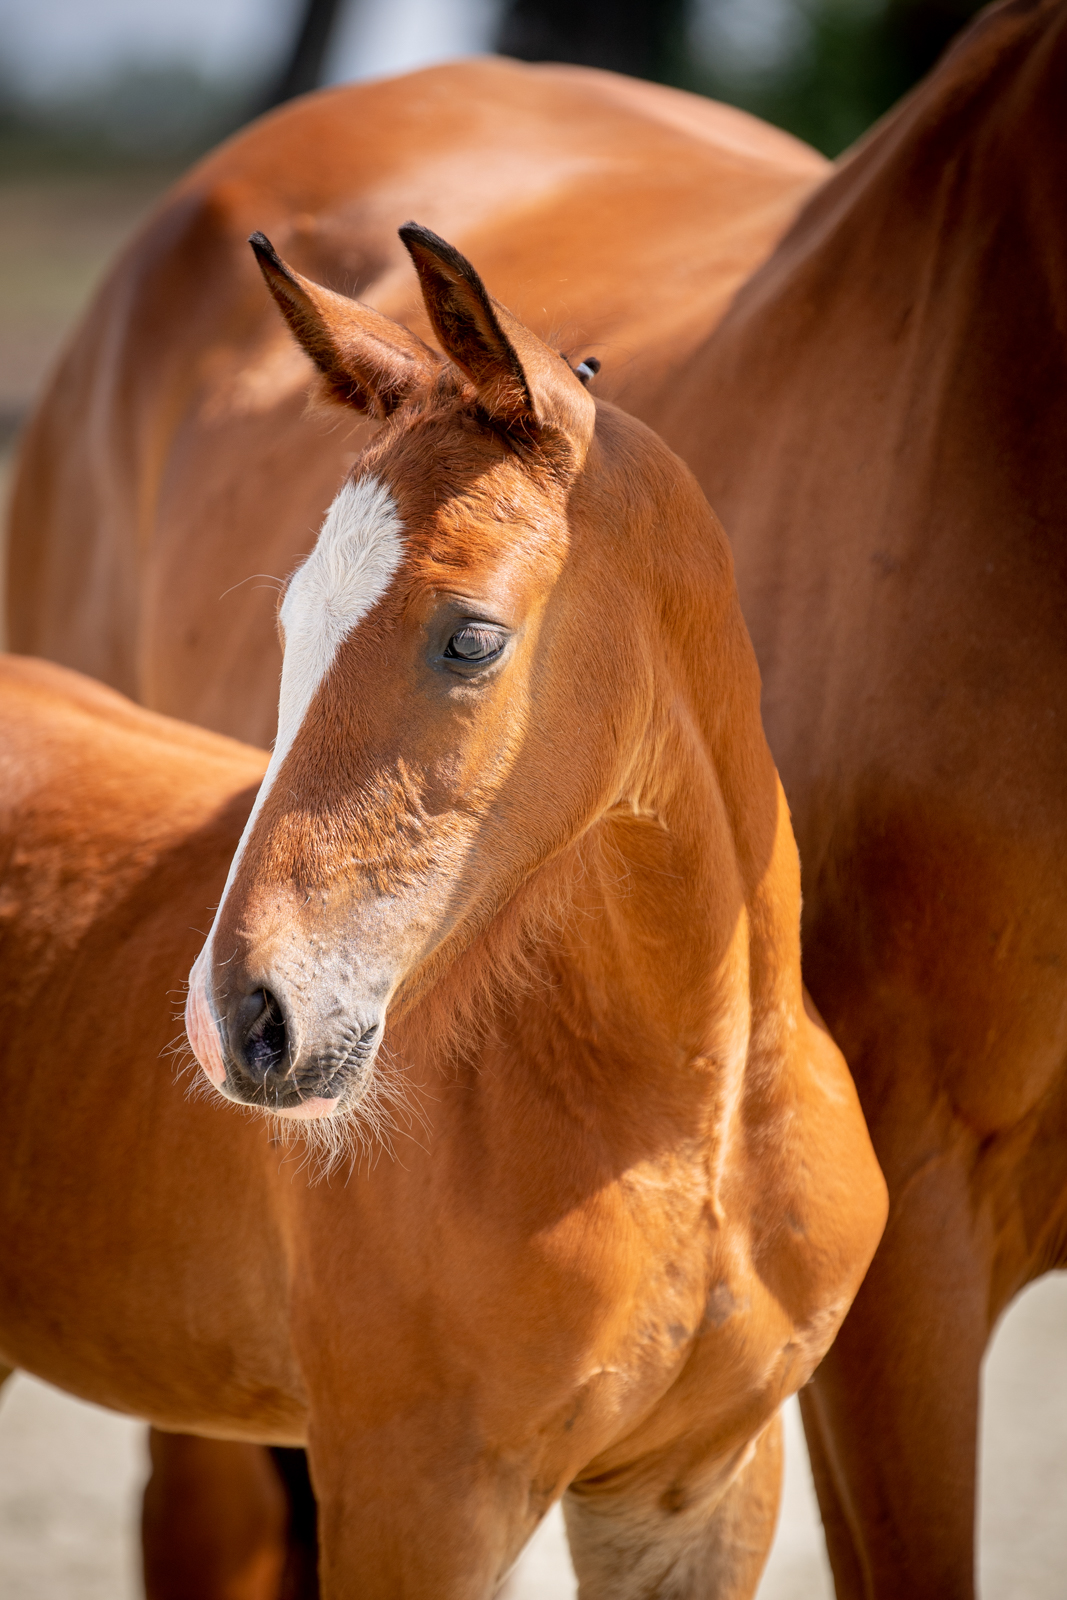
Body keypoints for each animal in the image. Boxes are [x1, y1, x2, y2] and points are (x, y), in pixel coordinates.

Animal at [0, 229, 886, 1599]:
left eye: (471, 638)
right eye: (289, 623)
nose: (237, 1023)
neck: (692, 1120)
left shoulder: (700, 1490)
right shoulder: (419, 1495)